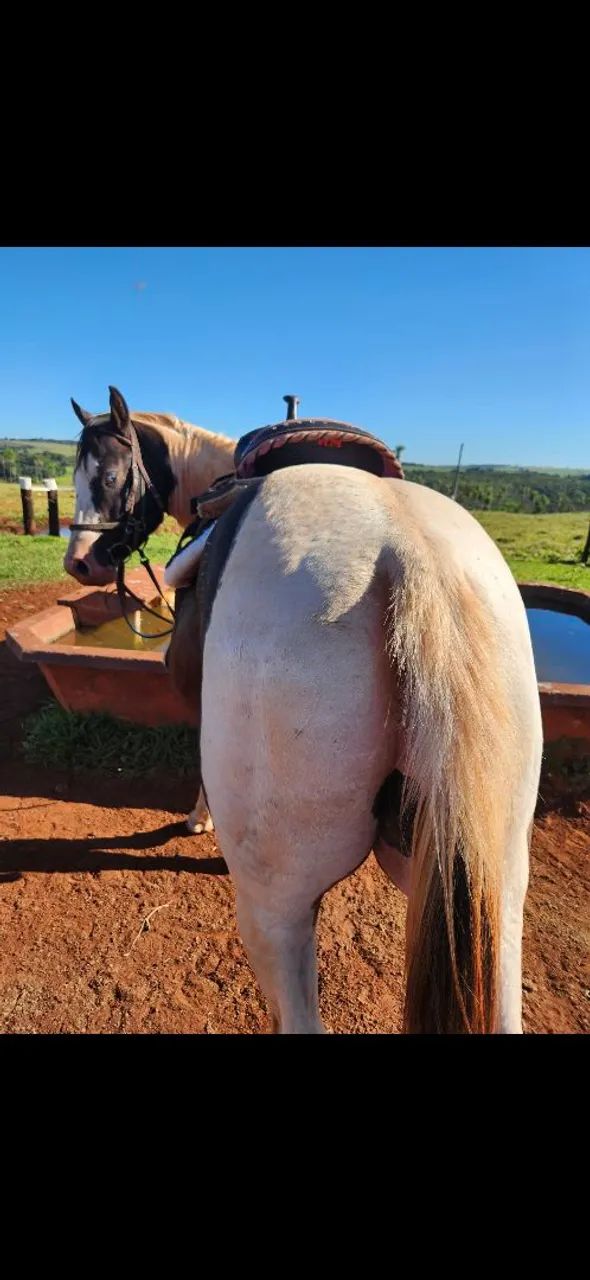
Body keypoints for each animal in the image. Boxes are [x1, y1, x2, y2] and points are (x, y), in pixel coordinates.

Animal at [65, 386, 543, 1033]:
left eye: (110, 475)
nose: (79, 562)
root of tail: (412, 552)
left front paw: (199, 819)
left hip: (278, 905)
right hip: (491, 884)